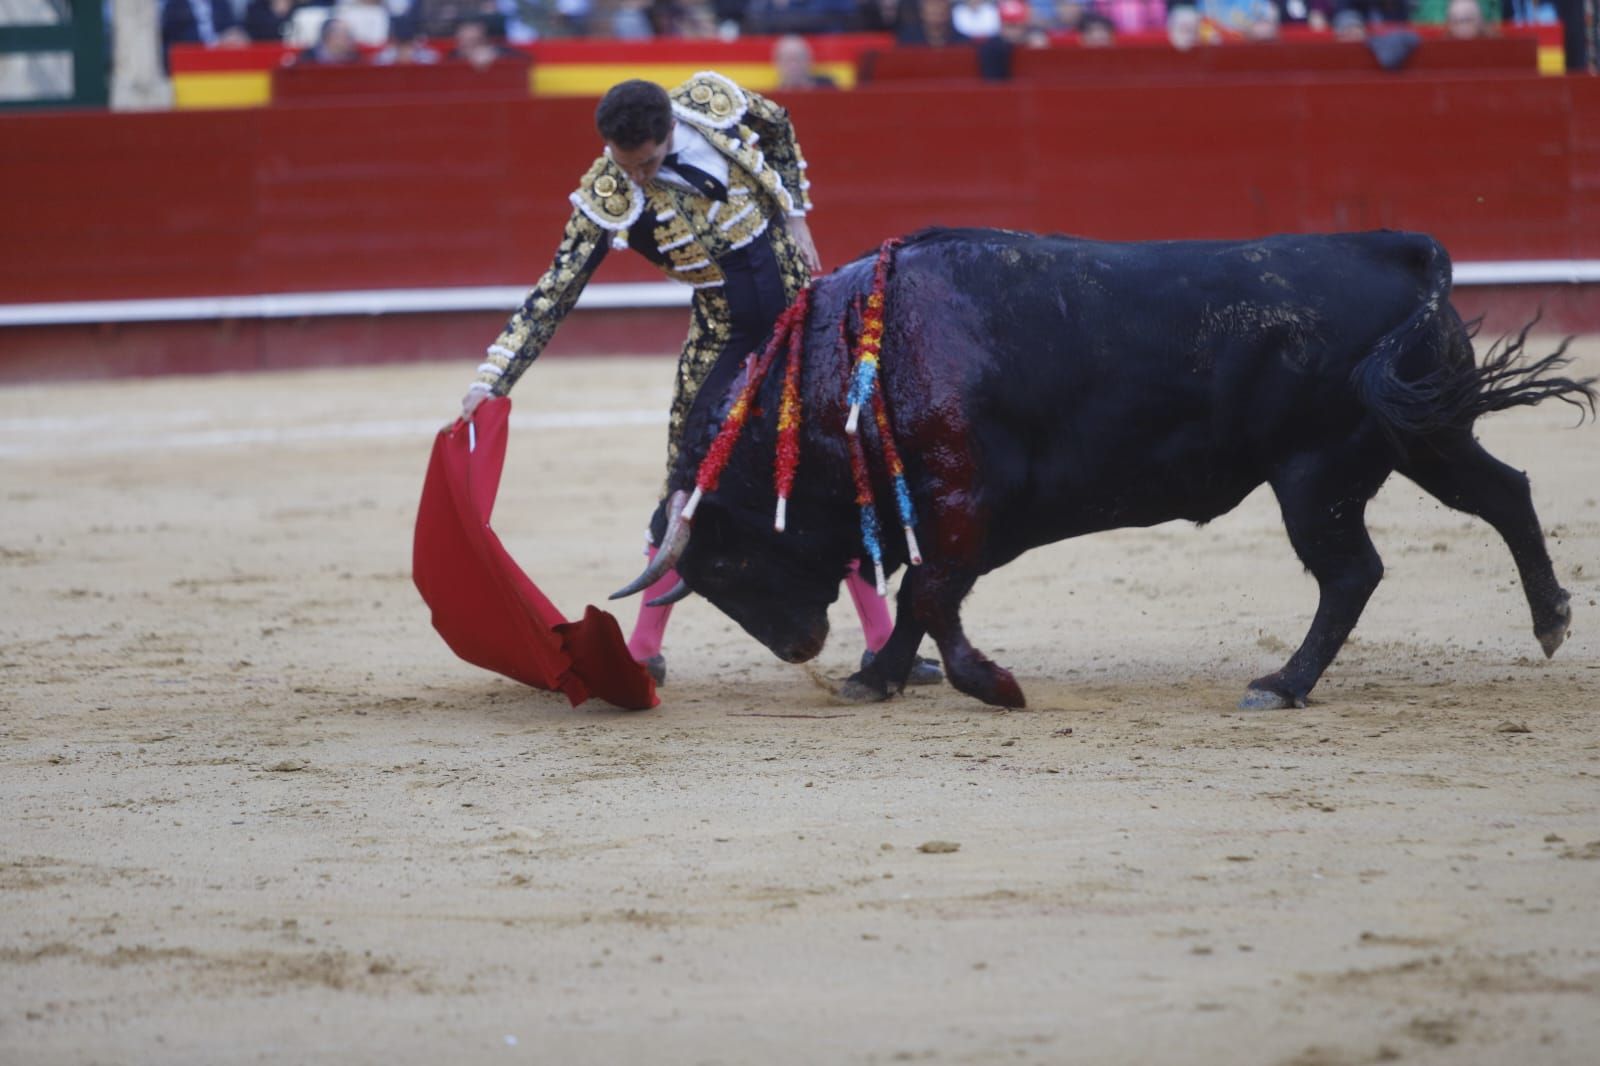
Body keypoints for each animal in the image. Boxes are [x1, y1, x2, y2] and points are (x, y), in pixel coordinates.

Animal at [614, 225, 1600, 704]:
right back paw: (1551, 617)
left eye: (731, 559)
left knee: (1352, 572)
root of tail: (1402, 252)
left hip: (1315, 476)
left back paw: (1281, 686)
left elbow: (929, 595)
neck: (852, 361)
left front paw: (989, 686)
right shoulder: (949, 519)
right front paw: (879, 677)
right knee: (1504, 493)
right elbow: (925, 600)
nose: (800, 648)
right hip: (1425, 434)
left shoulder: (968, 503)